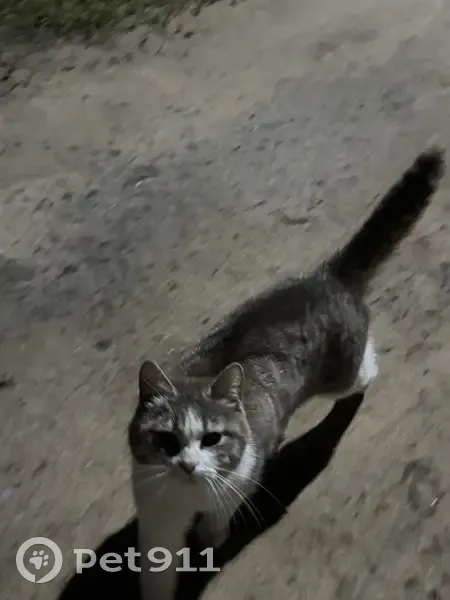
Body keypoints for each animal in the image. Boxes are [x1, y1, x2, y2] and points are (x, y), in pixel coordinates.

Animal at [128, 147, 445, 600]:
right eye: (167, 441)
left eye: (212, 439)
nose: (188, 466)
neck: (189, 497)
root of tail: (327, 278)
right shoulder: (156, 516)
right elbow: (158, 568)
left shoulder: (240, 479)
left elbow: (220, 517)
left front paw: (212, 535)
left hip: (341, 372)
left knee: (362, 369)